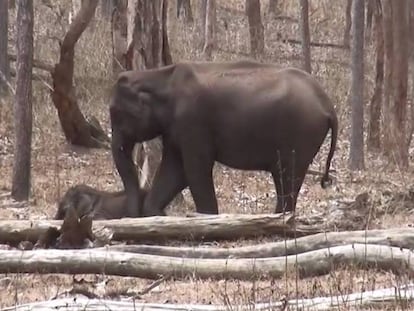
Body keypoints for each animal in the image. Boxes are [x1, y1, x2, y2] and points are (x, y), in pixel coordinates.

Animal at [111, 60, 340, 217]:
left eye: (117, 115)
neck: (160, 76)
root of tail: (328, 105)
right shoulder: (176, 130)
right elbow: (175, 170)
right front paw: (156, 215)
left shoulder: (193, 122)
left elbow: (195, 170)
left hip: (301, 135)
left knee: (287, 177)